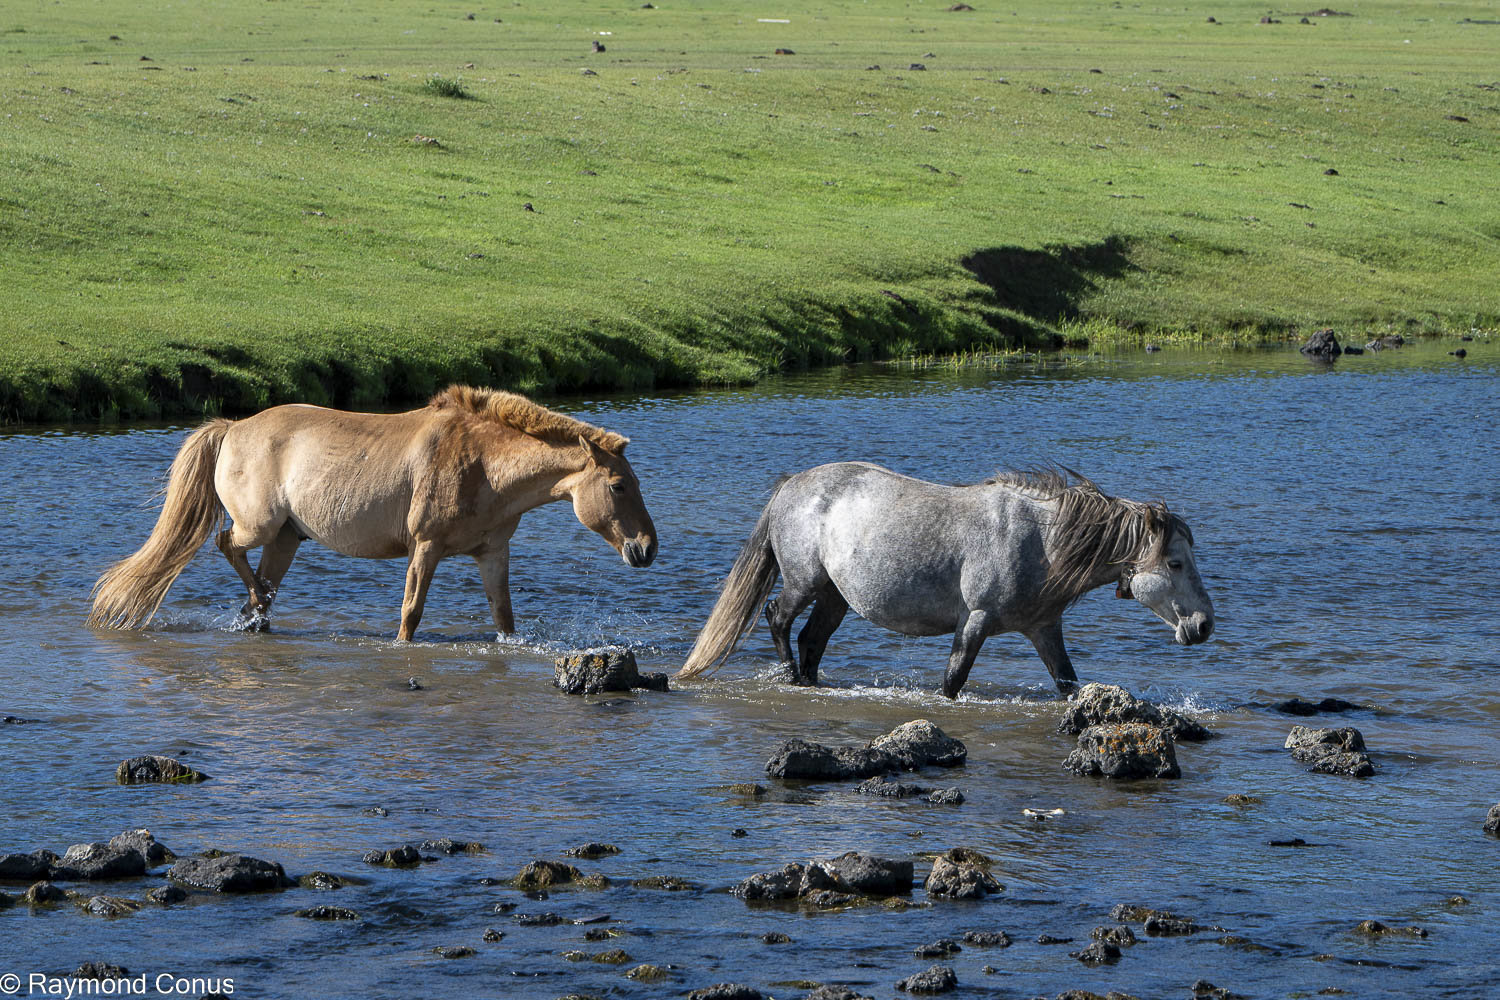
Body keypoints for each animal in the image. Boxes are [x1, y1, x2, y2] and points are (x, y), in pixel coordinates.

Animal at [89, 385, 657, 640]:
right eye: (618, 485)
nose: (646, 549)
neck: (483, 463)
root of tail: (232, 427)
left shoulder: (491, 553)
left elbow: (504, 618)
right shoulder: (425, 548)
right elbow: (410, 614)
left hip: (287, 538)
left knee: (261, 581)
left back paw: (259, 613)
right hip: (261, 526)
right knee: (226, 544)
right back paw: (256, 602)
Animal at [676, 463, 1213, 697]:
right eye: (1175, 563)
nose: (1204, 625)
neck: (1041, 541)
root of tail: (792, 486)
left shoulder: (1043, 630)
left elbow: (1068, 684)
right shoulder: (974, 621)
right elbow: (952, 683)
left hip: (835, 597)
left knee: (812, 639)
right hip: (805, 583)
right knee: (778, 620)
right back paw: (790, 678)